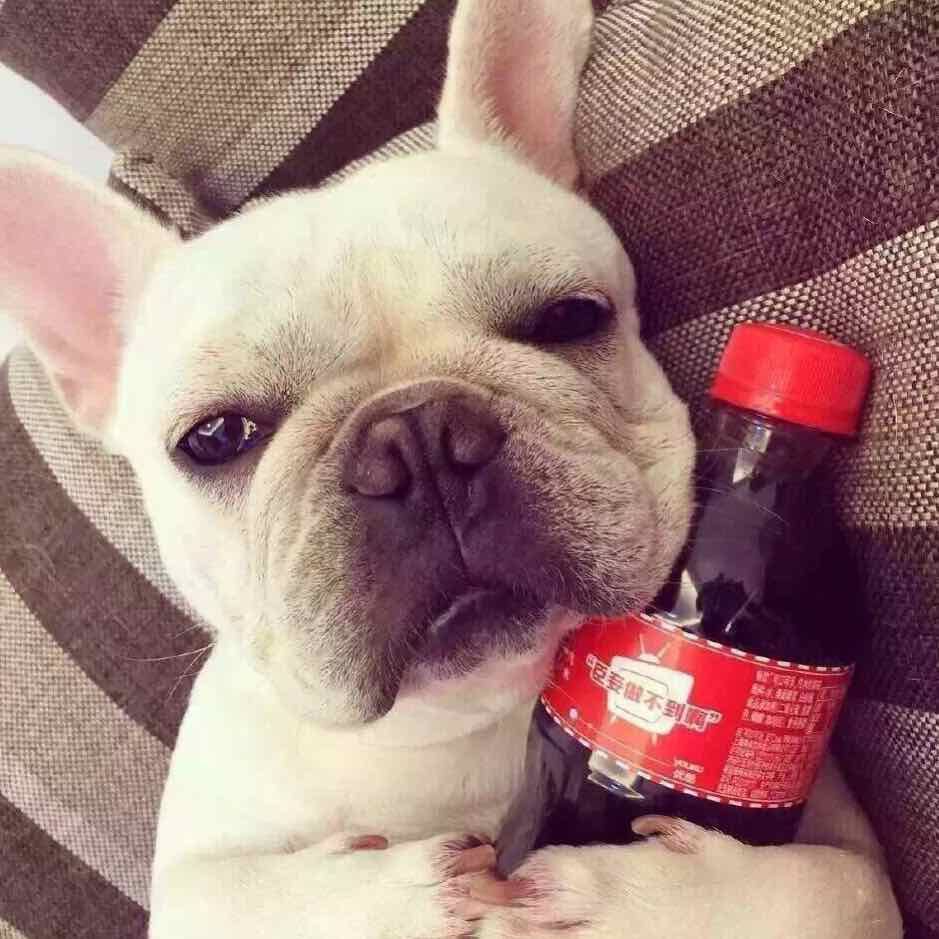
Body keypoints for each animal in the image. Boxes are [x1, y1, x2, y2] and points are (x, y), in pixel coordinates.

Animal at [0, 1, 902, 936]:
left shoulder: (836, 840)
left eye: (569, 317)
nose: (419, 435)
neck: (460, 722)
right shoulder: (193, 881)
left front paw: (625, 898)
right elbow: (247, 895)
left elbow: (829, 885)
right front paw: (402, 890)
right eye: (214, 437)